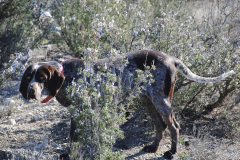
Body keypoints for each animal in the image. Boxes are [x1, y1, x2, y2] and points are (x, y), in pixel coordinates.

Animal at [19, 49, 234, 159]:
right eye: (29, 77)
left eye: (42, 78)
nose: (30, 91)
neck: (67, 74)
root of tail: (171, 59)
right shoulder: (77, 112)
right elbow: (73, 136)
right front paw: (69, 152)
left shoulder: (87, 110)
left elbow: (83, 136)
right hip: (147, 99)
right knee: (160, 125)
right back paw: (153, 147)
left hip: (161, 99)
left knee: (174, 125)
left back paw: (172, 152)